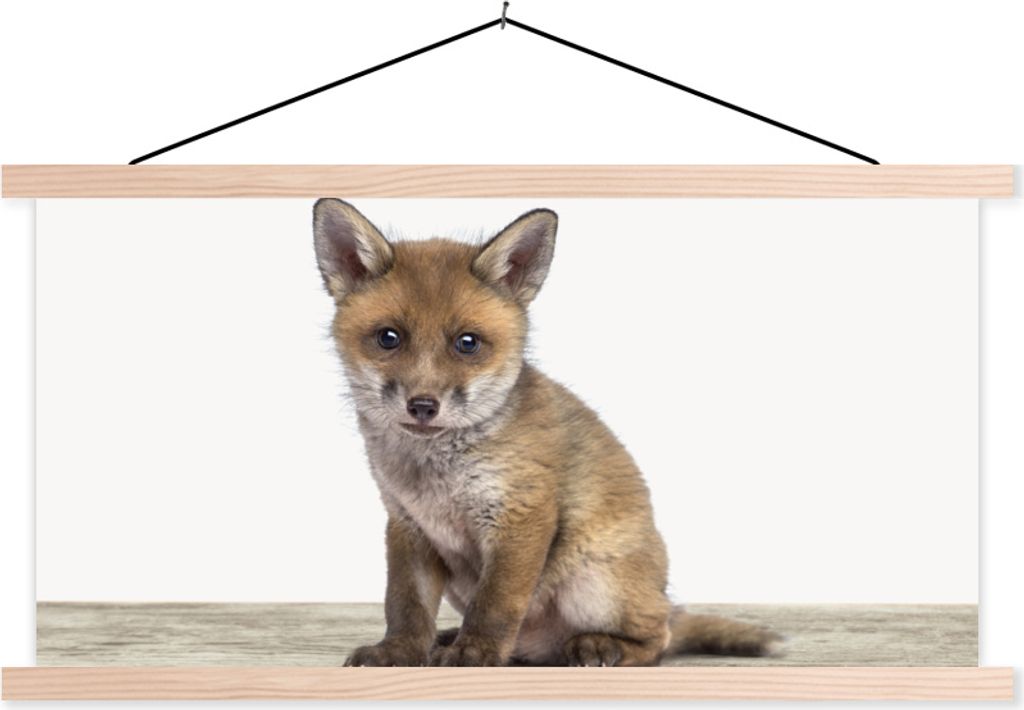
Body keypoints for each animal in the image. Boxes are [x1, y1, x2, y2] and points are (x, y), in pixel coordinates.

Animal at [312, 198, 782, 666]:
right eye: (388, 338)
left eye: (468, 343)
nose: (423, 406)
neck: (435, 477)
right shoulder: (407, 526)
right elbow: (405, 604)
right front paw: (399, 651)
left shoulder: (521, 514)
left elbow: (496, 603)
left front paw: (475, 652)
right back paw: (448, 639)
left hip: (595, 585)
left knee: (658, 639)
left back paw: (601, 645)